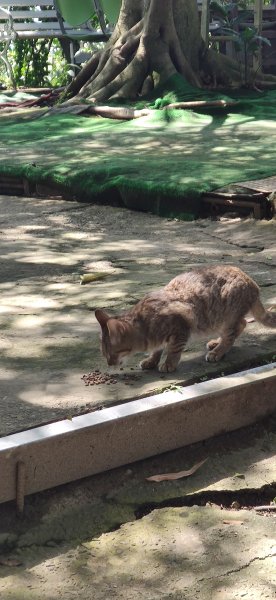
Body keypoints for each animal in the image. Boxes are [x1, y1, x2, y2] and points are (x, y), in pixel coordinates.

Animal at [95, 266, 276, 372]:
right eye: (104, 354)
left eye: (110, 353)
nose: (109, 363)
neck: (145, 326)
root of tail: (253, 283)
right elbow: (157, 349)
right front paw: (151, 360)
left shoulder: (181, 327)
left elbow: (173, 349)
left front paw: (169, 363)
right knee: (241, 325)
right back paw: (216, 342)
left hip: (227, 316)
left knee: (235, 330)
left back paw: (217, 351)